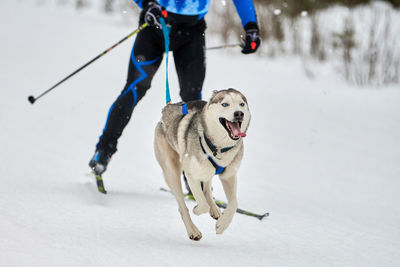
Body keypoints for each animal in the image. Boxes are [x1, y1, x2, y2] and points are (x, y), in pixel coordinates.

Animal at [154, 89, 250, 242]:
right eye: (225, 104)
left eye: (241, 104)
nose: (239, 113)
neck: (219, 148)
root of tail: (167, 109)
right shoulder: (191, 174)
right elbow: (202, 204)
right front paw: (197, 210)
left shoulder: (229, 175)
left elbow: (234, 203)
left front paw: (222, 224)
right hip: (172, 172)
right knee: (182, 206)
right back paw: (193, 230)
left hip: (207, 171)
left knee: (207, 189)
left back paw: (215, 209)